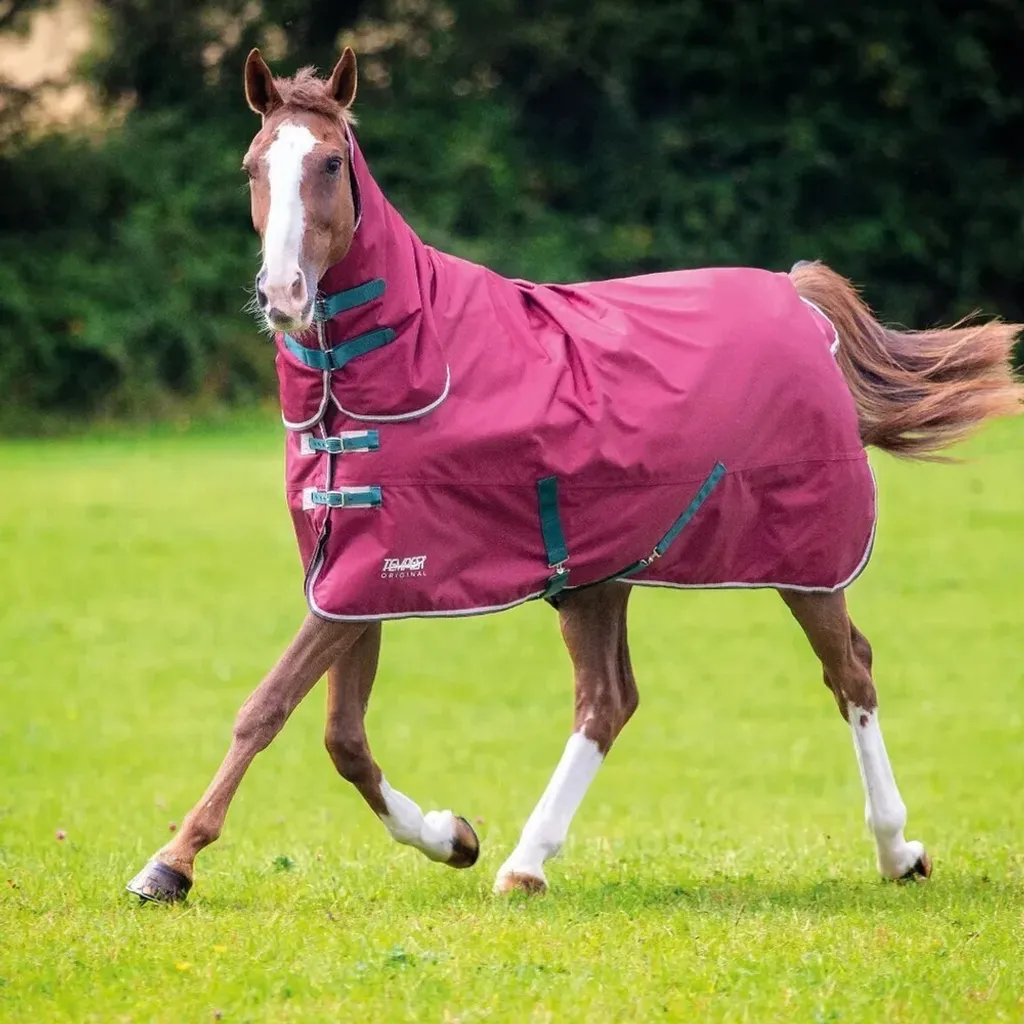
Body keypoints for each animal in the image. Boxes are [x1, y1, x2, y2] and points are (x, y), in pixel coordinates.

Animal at [126, 47, 1022, 903]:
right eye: (252, 164)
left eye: (331, 162)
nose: (283, 294)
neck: (404, 363)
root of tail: (798, 297)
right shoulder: (353, 569)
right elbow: (342, 737)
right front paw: (453, 836)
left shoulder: (371, 572)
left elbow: (268, 708)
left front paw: (170, 863)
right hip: (602, 575)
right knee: (608, 701)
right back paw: (524, 863)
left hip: (804, 560)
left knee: (851, 673)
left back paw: (898, 851)